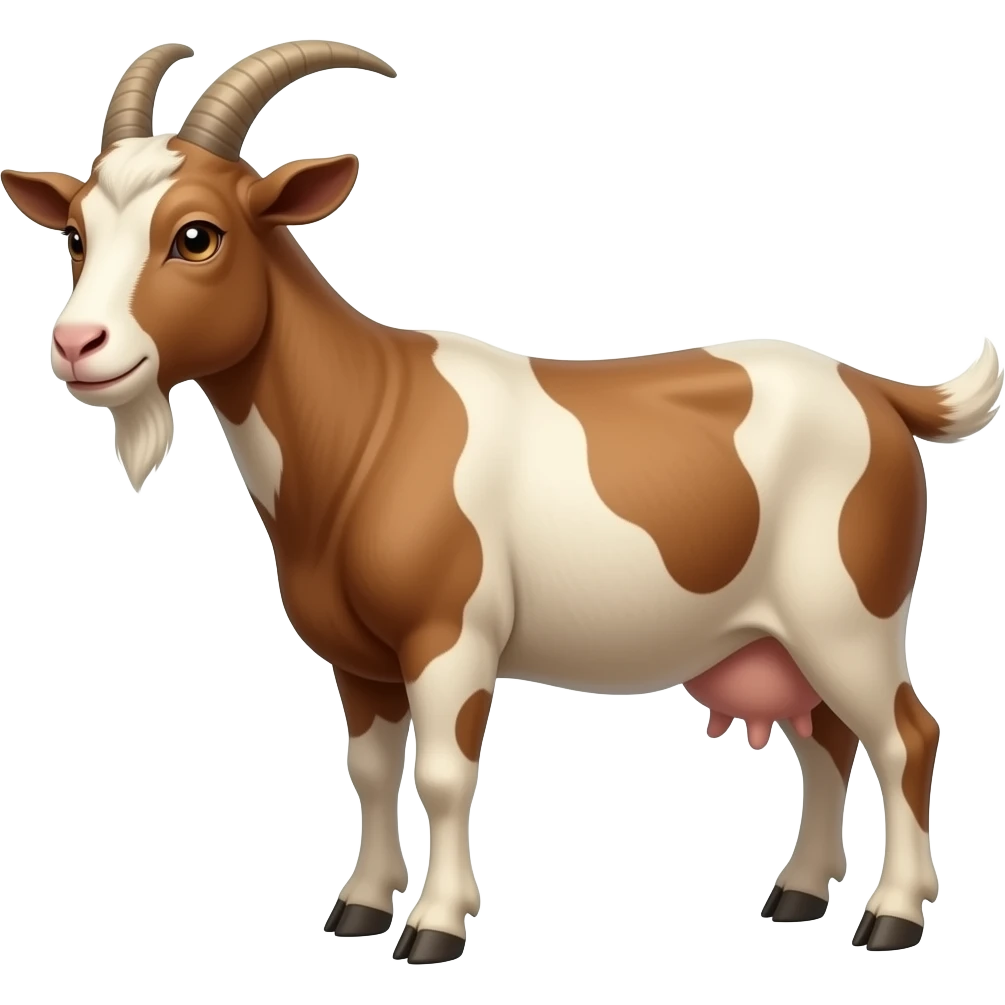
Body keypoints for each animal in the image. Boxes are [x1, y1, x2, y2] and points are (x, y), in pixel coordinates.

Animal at [2, 41, 1001, 965]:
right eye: (77, 234)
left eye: (197, 235)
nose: (77, 343)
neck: (369, 423)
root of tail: (875, 389)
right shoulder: (360, 661)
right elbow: (370, 770)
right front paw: (359, 906)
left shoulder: (451, 635)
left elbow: (444, 773)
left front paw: (434, 925)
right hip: (790, 632)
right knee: (825, 738)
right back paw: (797, 891)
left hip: (848, 613)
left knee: (905, 735)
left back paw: (893, 913)